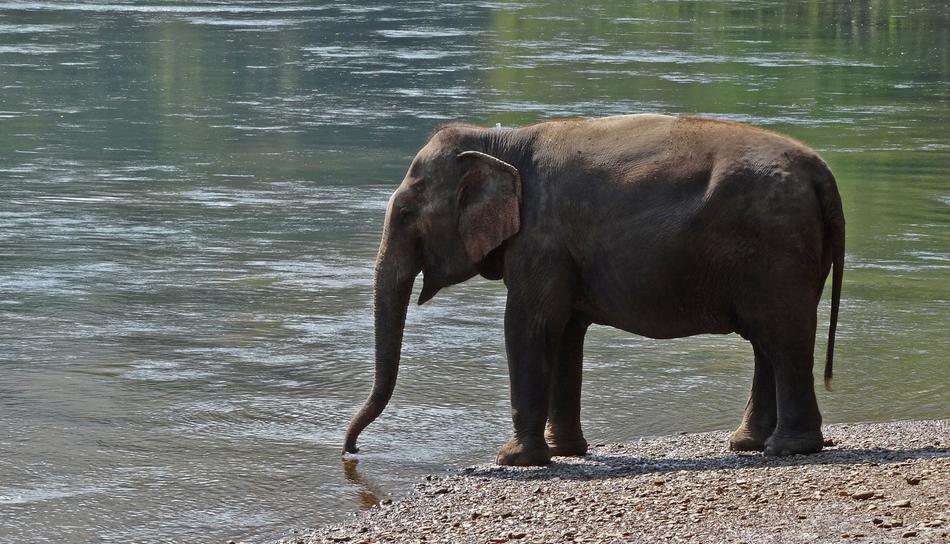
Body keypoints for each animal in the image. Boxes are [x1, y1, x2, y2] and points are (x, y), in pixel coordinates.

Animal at [343, 114, 844, 466]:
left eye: (406, 213)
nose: (350, 451)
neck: (500, 141)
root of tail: (822, 172)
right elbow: (565, 333)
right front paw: (565, 451)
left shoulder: (542, 239)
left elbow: (528, 325)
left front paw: (515, 460)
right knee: (768, 340)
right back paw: (748, 444)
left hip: (776, 248)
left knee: (782, 336)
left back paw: (788, 449)